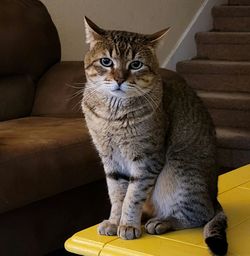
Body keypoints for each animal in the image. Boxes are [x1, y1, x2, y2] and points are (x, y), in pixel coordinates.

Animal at [82, 17, 229, 255]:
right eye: (106, 62)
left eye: (136, 64)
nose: (119, 79)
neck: (113, 116)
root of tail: (214, 197)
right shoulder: (110, 159)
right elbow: (117, 195)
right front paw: (114, 222)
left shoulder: (147, 159)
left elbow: (133, 196)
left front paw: (128, 225)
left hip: (178, 169)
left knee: (201, 214)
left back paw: (162, 221)